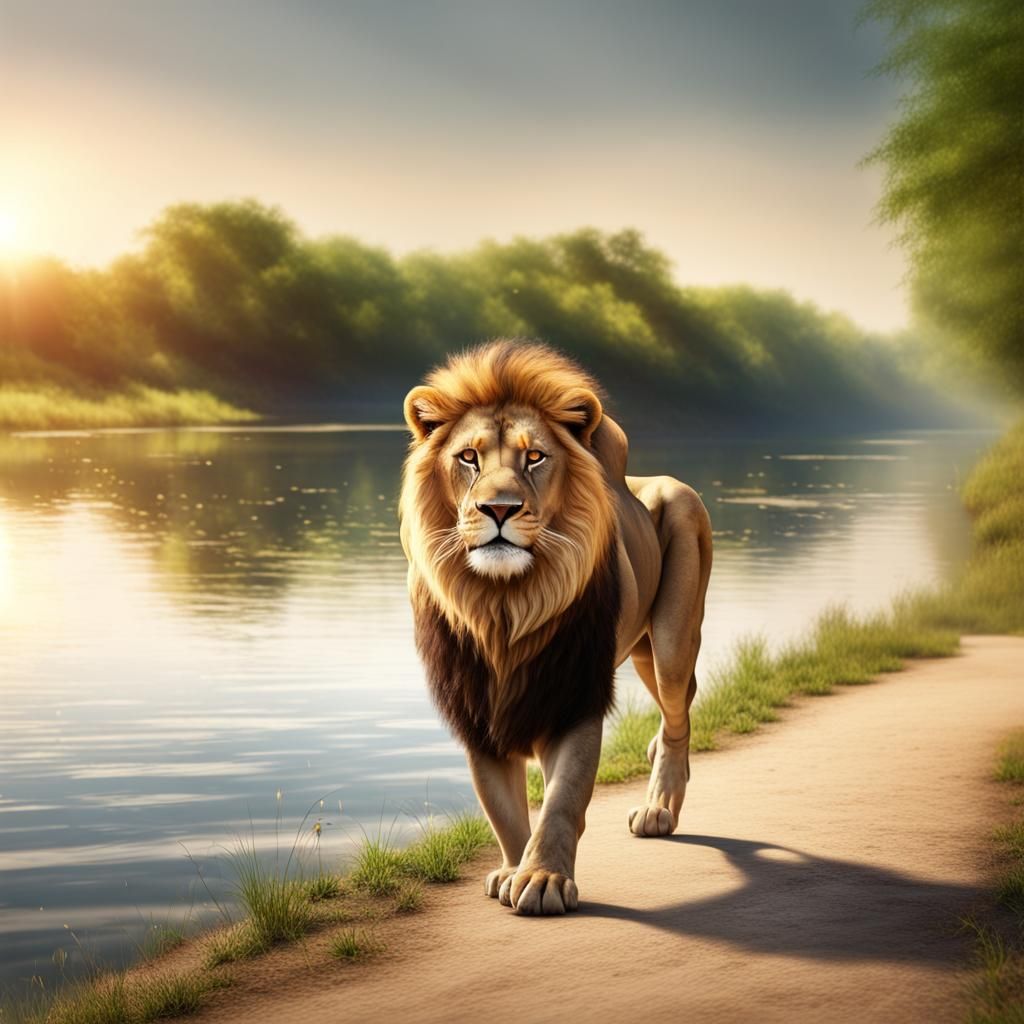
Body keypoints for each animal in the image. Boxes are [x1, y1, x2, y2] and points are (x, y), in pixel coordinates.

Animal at [400, 340, 712, 916]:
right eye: (468, 458)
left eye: (535, 457)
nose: (499, 508)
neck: (504, 606)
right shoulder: (478, 712)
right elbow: (503, 809)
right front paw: (513, 870)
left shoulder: (574, 697)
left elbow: (563, 799)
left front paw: (542, 879)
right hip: (640, 651)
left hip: (671, 641)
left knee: (677, 715)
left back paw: (659, 807)